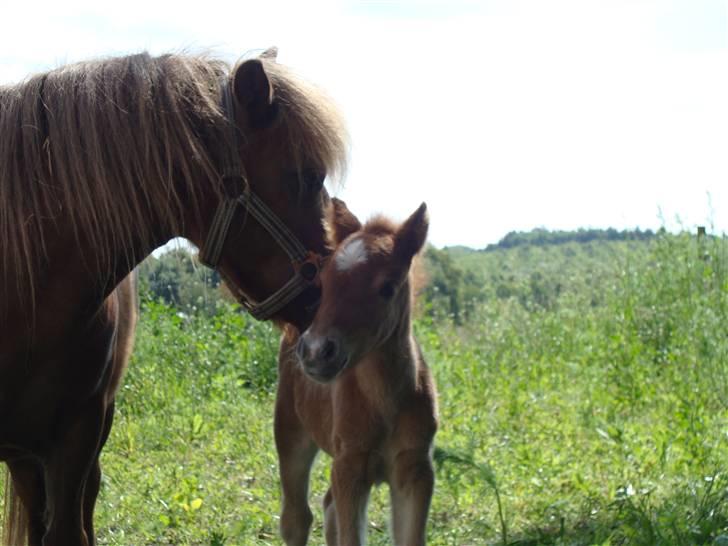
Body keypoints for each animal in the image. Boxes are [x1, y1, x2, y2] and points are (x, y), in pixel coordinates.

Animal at [274, 201, 438, 544]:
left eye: (387, 287)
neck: (384, 400)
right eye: (323, 282)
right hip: (290, 431)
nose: (316, 352)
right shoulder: (350, 466)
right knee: (296, 518)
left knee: (327, 506)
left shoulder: (415, 468)